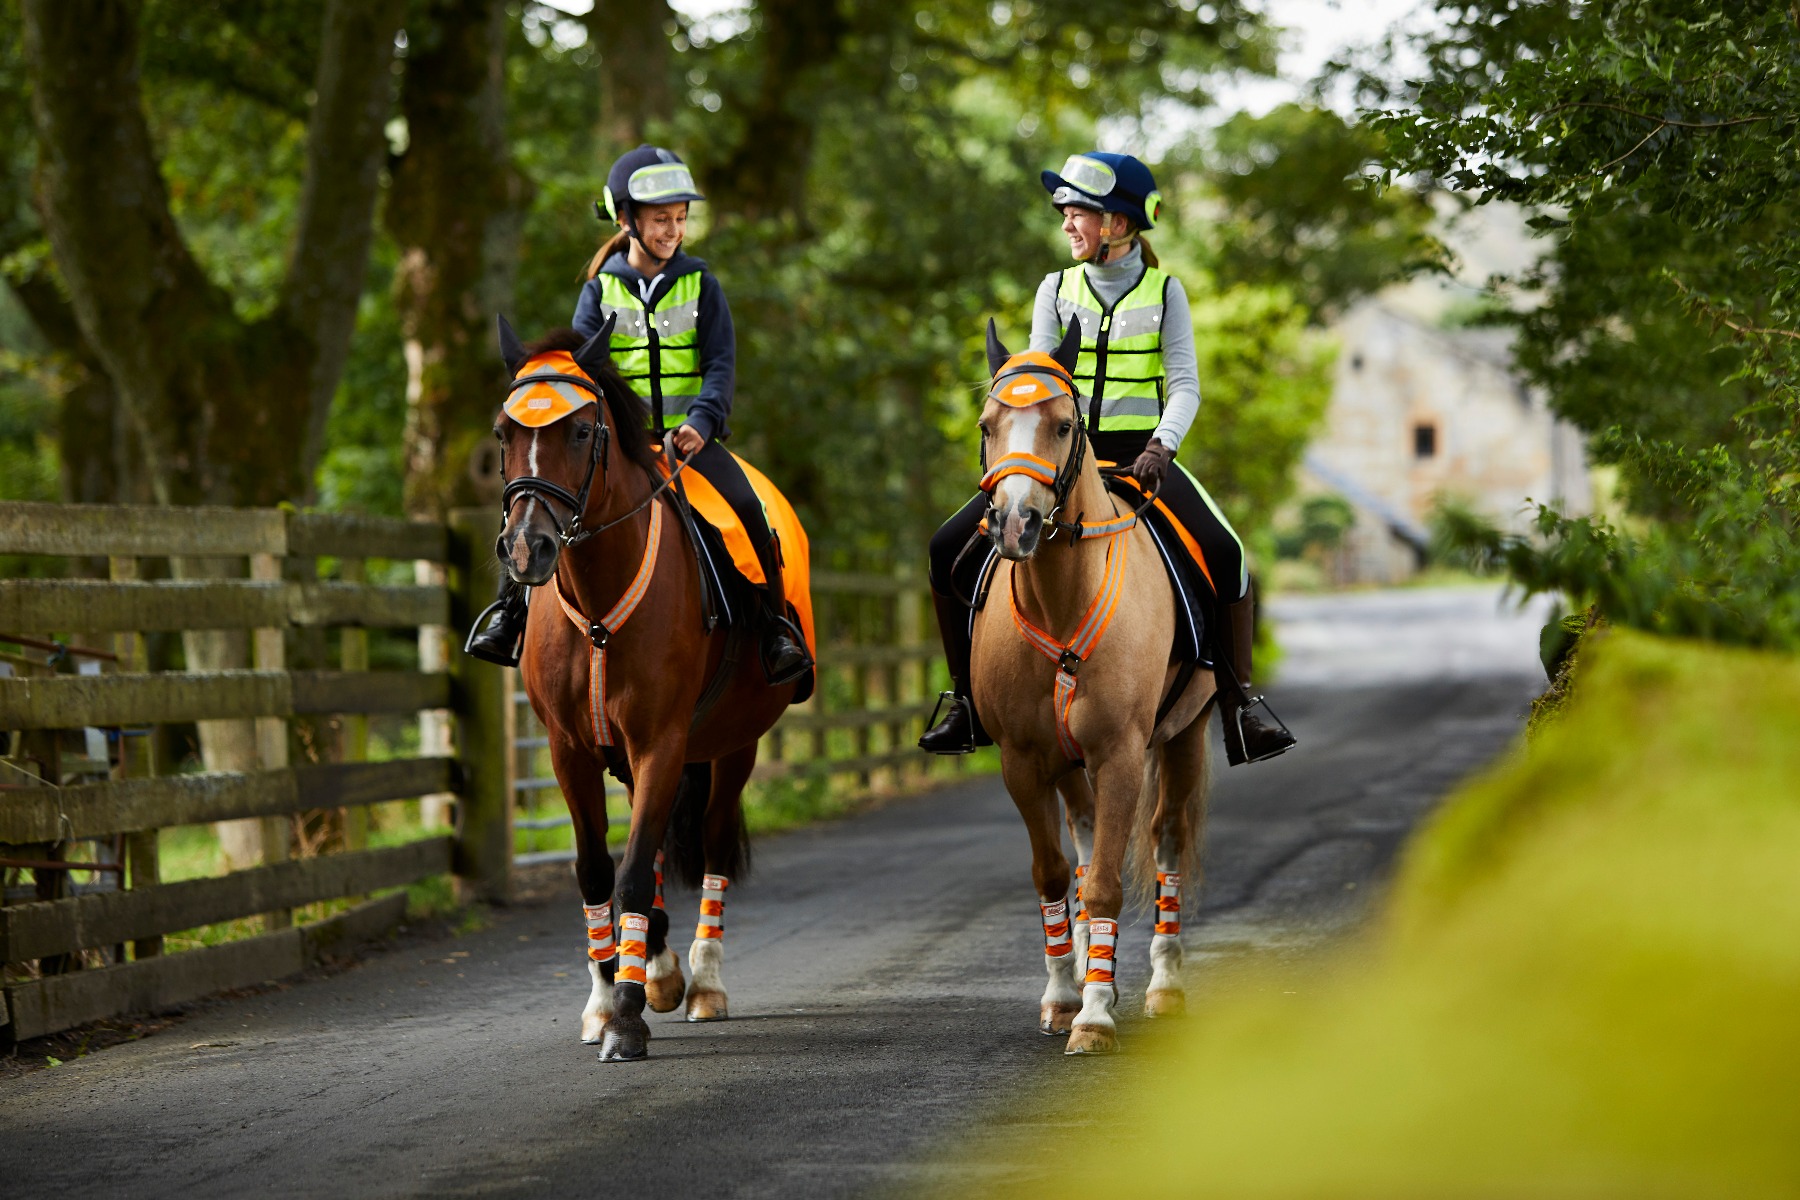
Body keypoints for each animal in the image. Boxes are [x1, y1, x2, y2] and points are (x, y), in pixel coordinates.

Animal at [489, 316, 806, 1057]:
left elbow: (634, 868)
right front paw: (608, 996)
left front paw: (628, 1016)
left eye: (582, 431)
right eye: (503, 433)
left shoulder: (663, 741)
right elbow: (597, 869)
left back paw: (703, 982)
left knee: (712, 844)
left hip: (731, 746)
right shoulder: (570, 751)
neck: (599, 603)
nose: (525, 549)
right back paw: (658, 967)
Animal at [972, 318, 1209, 1050]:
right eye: (988, 424)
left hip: (1186, 734)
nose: (1015, 524)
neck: (1061, 599)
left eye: (1061, 425)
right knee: (1079, 842)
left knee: (1166, 840)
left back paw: (1164, 984)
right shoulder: (1022, 762)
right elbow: (1054, 874)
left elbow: (1104, 883)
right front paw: (1062, 996)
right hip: (1066, 763)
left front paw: (1097, 1015)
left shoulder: (1121, 755)